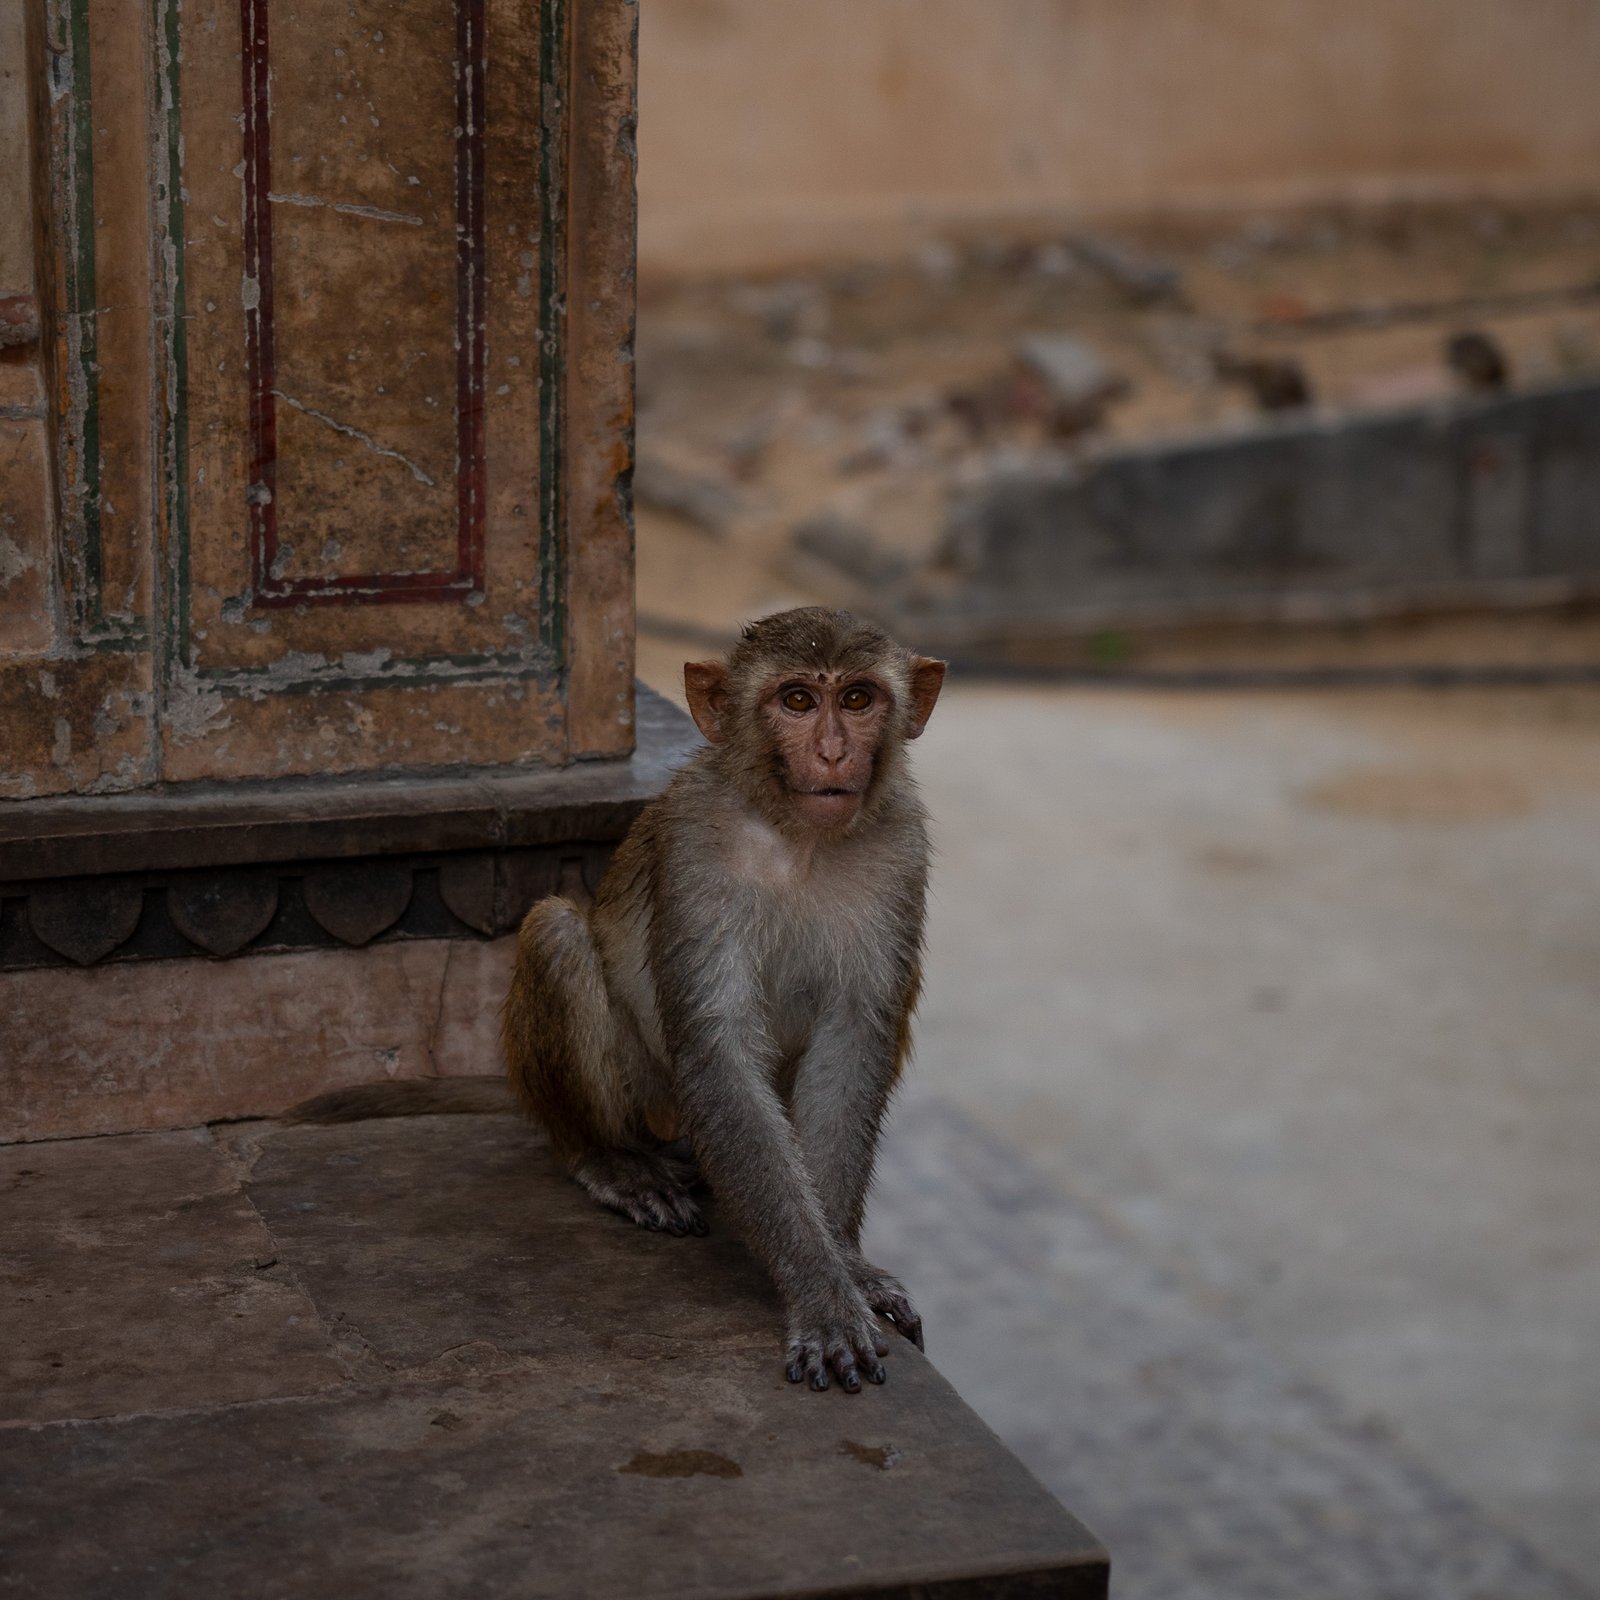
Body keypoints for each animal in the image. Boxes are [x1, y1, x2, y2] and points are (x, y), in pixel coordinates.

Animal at [501, 607, 944, 1394]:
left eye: (857, 699)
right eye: (797, 700)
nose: (833, 752)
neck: (799, 838)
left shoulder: (901, 847)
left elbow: (853, 1039)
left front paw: (847, 1268)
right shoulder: (695, 845)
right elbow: (718, 1048)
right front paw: (822, 1293)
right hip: (654, 1103)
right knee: (557, 932)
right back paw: (609, 1161)